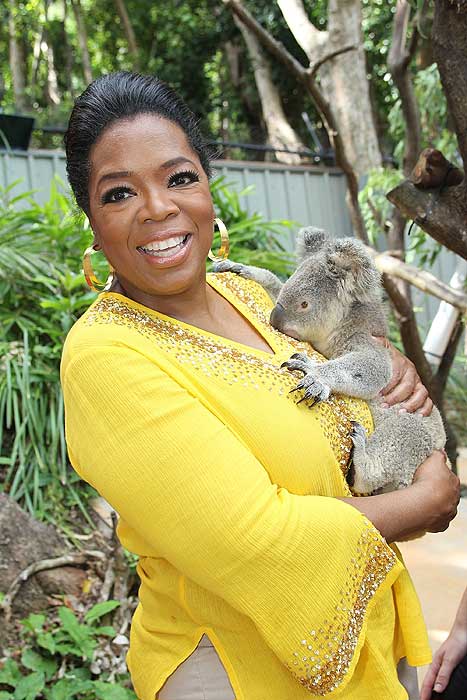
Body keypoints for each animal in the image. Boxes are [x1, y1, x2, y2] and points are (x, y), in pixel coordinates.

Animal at [213, 226, 446, 494]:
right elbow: (272, 284)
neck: (340, 326)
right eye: (285, 293)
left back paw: (362, 460)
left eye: (304, 304)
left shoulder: (364, 340)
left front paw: (312, 374)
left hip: (415, 431)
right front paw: (238, 267)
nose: (274, 320)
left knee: (400, 439)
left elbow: (374, 369)